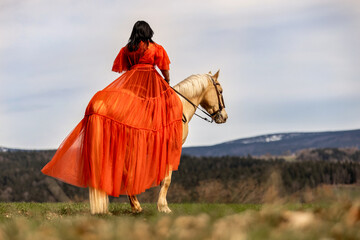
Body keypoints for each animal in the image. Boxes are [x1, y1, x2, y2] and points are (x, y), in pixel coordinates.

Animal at [88, 70, 226, 214]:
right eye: (220, 91)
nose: (224, 117)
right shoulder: (172, 148)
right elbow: (167, 179)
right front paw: (163, 207)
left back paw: (132, 206)